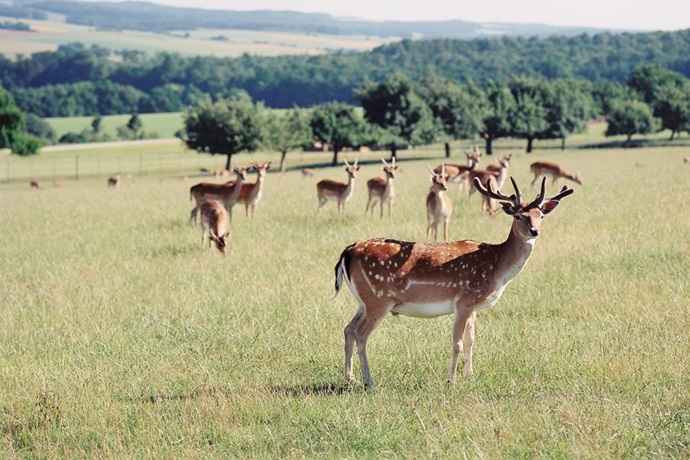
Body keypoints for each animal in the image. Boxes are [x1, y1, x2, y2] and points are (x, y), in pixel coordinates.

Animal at [330, 176, 572, 388]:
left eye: (541, 215)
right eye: (518, 216)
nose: (534, 231)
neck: (497, 269)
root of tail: (346, 252)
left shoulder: (473, 305)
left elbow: (471, 339)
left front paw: (470, 376)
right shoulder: (463, 300)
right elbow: (457, 343)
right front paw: (451, 381)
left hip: (363, 301)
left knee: (348, 329)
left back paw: (350, 378)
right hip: (378, 300)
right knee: (361, 335)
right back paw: (368, 381)